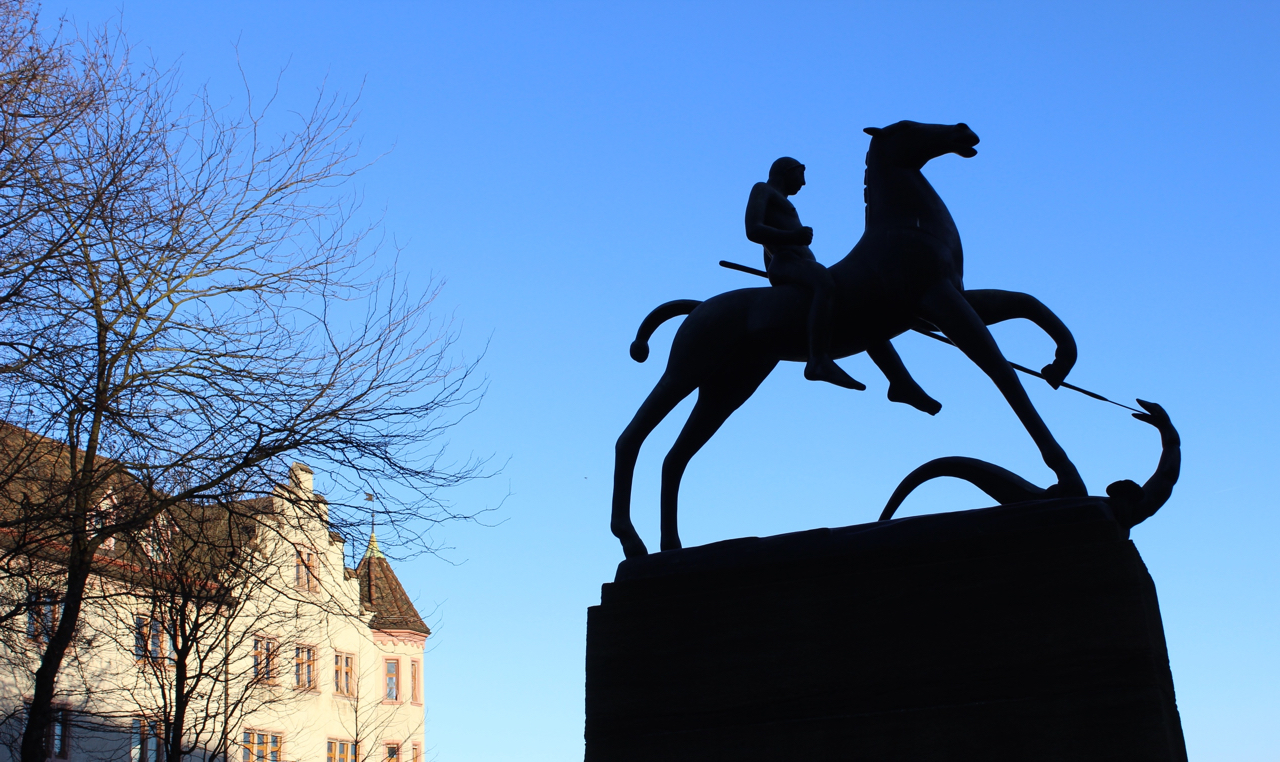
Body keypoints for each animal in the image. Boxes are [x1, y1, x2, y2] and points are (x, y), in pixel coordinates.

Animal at [614, 121, 1085, 560]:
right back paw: (632, 541)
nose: (963, 130)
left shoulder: (945, 302)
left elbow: (1025, 302)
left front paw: (1060, 362)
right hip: (689, 368)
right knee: (631, 437)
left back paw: (671, 546)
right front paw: (1066, 478)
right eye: (908, 127)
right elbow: (1000, 370)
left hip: (730, 384)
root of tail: (699, 307)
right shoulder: (940, 302)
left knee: (675, 457)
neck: (905, 227)